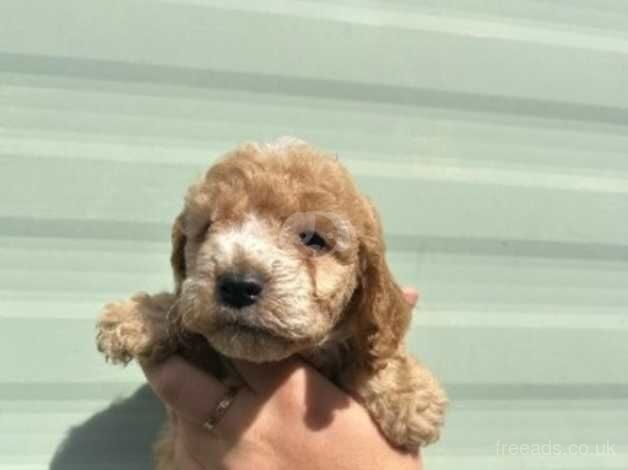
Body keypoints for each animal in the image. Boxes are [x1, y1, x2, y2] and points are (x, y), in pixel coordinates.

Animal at [95, 137, 446, 466]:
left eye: (313, 239)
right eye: (207, 228)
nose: (237, 286)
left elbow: (373, 346)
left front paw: (409, 393)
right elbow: (185, 315)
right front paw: (138, 317)